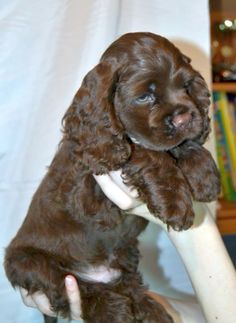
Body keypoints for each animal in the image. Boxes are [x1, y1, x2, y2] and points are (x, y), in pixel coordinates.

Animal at [4, 33, 220, 323]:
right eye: (145, 96)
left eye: (186, 86)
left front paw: (205, 176)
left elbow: (181, 145)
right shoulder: (91, 184)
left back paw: (150, 310)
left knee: (129, 285)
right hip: (28, 261)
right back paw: (114, 310)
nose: (185, 118)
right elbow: (147, 152)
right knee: (68, 287)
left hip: (125, 253)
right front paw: (176, 204)